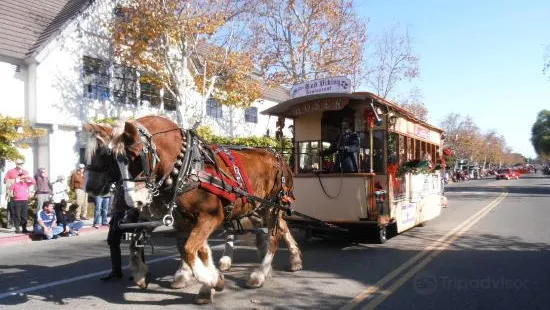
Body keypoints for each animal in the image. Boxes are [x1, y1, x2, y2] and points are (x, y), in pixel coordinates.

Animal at [85, 116, 306, 302]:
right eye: (113, 159)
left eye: (136, 157)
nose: (133, 201)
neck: (185, 167)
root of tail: (278, 156)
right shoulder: (181, 218)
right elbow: (195, 249)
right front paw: (206, 280)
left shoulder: (209, 217)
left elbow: (189, 249)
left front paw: (212, 282)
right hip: (260, 207)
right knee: (280, 228)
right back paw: (291, 259)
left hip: (273, 205)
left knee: (274, 236)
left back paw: (260, 273)